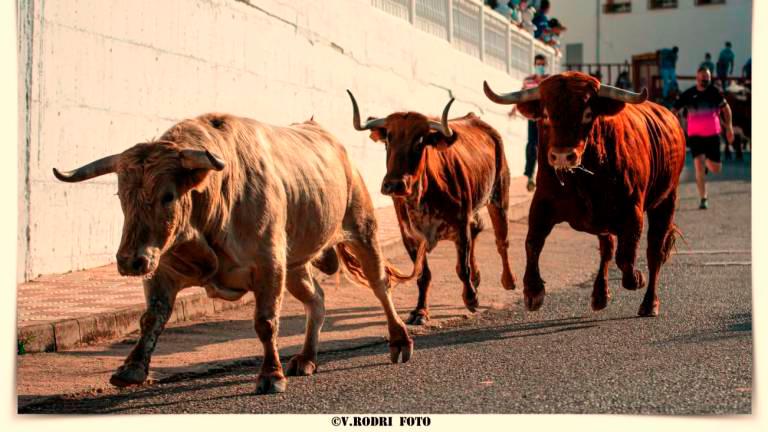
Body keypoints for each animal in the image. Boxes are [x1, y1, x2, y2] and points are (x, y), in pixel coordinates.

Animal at [52, 113, 426, 394]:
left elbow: (265, 322)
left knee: (380, 286)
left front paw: (271, 376)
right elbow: (151, 318)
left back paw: (399, 341)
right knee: (316, 299)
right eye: (122, 196)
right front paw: (131, 369)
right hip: (295, 265)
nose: (130, 261)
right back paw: (307, 357)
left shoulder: (269, 266)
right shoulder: (163, 269)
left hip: (362, 230)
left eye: (168, 196)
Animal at [348, 90, 516, 324]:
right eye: (388, 139)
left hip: (500, 195)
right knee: (477, 230)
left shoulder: (460, 225)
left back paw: (509, 280)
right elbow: (423, 275)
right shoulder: (409, 236)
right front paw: (420, 311)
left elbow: (462, 268)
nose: (394, 184)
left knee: (502, 241)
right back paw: (477, 278)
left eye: (420, 142)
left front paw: (471, 298)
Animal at [484, 71, 688, 318]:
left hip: (665, 200)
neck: (582, 177)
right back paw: (600, 295)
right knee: (607, 249)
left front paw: (636, 279)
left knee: (654, 251)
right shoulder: (542, 204)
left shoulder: (632, 211)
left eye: (588, 114)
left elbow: (626, 256)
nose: (562, 156)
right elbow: (532, 242)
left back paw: (649, 303)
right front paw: (533, 291)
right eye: (545, 114)